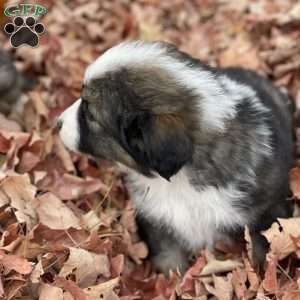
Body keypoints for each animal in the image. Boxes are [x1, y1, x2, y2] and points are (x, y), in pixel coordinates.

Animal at [57, 40, 294, 274]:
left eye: (89, 114)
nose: (57, 123)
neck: (181, 181)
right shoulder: (157, 220)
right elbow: (168, 256)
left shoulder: (267, 211)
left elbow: (262, 244)